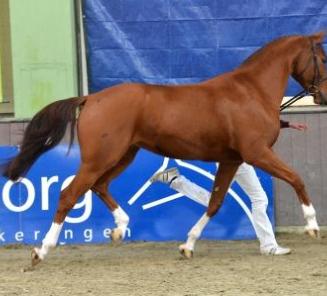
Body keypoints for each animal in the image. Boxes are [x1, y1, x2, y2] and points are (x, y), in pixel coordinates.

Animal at [3, 32, 327, 266]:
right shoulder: (257, 153)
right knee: (70, 194)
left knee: (99, 186)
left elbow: (214, 203)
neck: (251, 92)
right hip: (101, 158)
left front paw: (187, 245)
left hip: (122, 155)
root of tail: (90, 98)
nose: (323, 96)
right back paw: (41, 251)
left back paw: (120, 228)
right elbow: (297, 178)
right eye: (322, 58)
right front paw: (312, 226)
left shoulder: (231, 160)